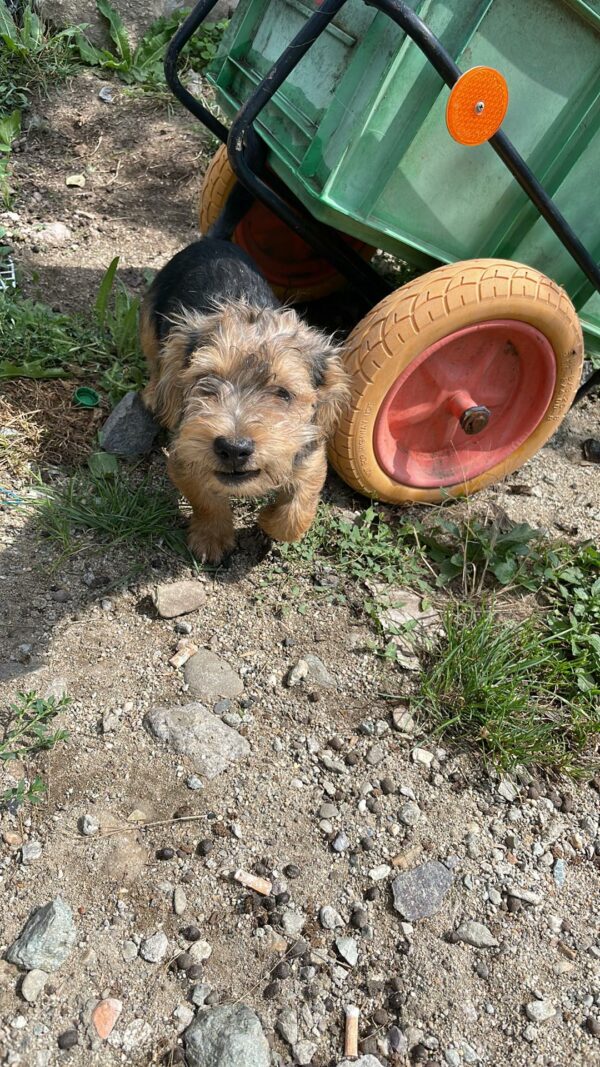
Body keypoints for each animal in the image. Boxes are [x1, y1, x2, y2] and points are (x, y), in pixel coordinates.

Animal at [139, 236, 348, 563]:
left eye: (283, 393)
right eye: (205, 381)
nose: (234, 448)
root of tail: (213, 240)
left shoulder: (310, 455)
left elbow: (297, 510)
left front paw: (268, 521)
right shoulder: (185, 454)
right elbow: (206, 499)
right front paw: (211, 539)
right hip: (150, 321)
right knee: (155, 359)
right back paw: (153, 395)